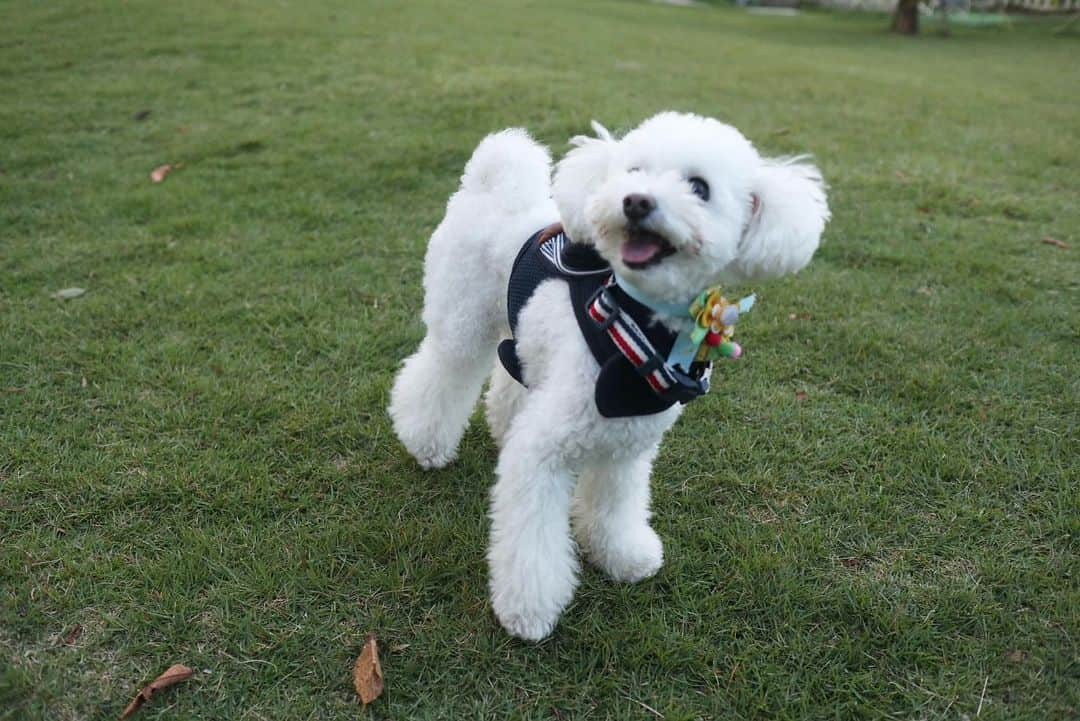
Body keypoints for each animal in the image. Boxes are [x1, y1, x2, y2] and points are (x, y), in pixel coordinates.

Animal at [386, 110, 825, 638]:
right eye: (633, 171)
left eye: (699, 187)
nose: (635, 201)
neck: (634, 326)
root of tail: (493, 182)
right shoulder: (540, 456)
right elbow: (532, 542)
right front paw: (529, 610)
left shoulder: (628, 444)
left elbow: (615, 507)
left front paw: (622, 555)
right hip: (462, 317)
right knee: (441, 371)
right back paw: (426, 442)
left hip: (522, 338)